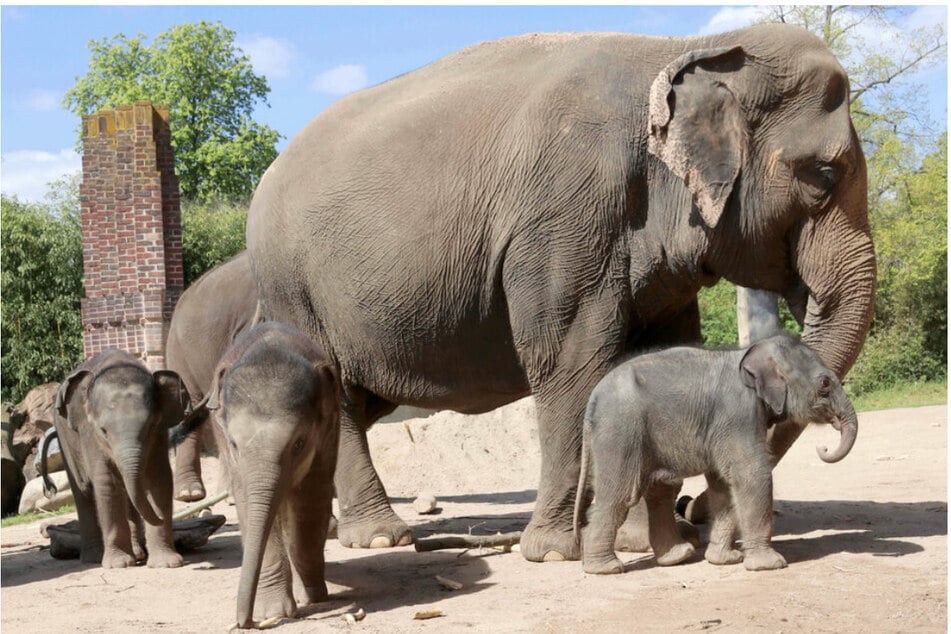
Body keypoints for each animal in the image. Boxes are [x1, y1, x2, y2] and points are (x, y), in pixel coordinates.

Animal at [49, 348, 192, 564]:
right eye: (103, 430)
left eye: (151, 426)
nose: (162, 517)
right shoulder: (89, 435)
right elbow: (107, 483)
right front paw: (119, 563)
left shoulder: (160, 434)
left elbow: (159, 480)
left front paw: (167, 563)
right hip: (65, 441)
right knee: (83, 491)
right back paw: (94, 559)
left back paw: (138, 553)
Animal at [576, 336, 860, 572]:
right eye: (825, 383)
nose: (823, 447)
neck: (749, 354)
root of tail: (592, 399)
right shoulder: (737, 414)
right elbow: (751, 475)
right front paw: (770, 565)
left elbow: (723, 485)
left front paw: (725, 560)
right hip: (620, 431)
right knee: (620, 494)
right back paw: (606, 568)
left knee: (660, 488)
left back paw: (677, 556)